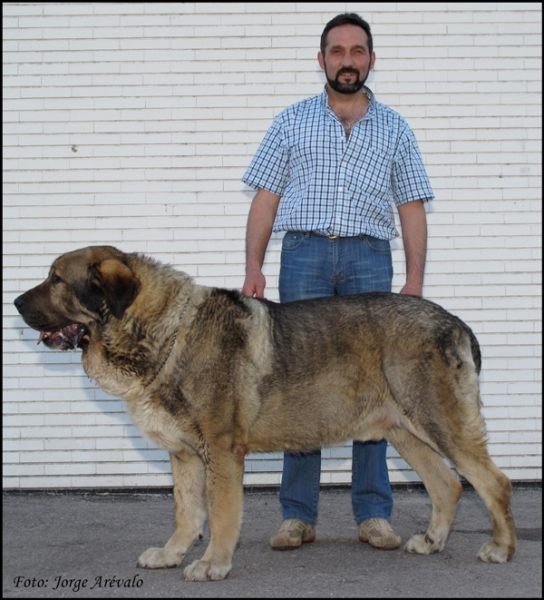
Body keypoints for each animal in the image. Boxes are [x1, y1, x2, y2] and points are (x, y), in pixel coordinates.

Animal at [12, 245, 516, 580]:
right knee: (449, 484)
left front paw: (212, 563)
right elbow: (186, 513)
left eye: (56, 280)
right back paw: (432, 542)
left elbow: (220, 512)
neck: (168, 332)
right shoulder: (185, 456)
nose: (15, 303)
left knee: (493, 482)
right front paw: (173, 554)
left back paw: (501, 548)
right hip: (405, 431)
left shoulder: (221, 450)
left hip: (438, 424)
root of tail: (456, 322)